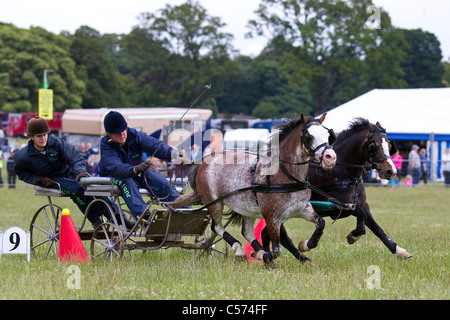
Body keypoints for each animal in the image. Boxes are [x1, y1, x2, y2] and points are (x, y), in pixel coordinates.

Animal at [171, 114, 336, 264]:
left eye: (328, 135)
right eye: (308, 136)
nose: (331, 157)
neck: (285, 174)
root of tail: (204, 162)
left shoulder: (302, 208)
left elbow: (320, 223)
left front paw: (305, 245)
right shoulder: (272, 217)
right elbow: (276, 249)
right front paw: (266, 257)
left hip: (245, 207)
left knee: (246, 232)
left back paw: (257, 252)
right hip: (214, 203)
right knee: (216, 227)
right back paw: (241, 250)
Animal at [262, 119, 414, 262]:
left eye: (389, 145)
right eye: (374, 146)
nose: (390, 171)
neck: (340, 170)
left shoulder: (361, 204)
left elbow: (375, 227)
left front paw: (399, 250)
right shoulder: (340, 207)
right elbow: (361, 218)